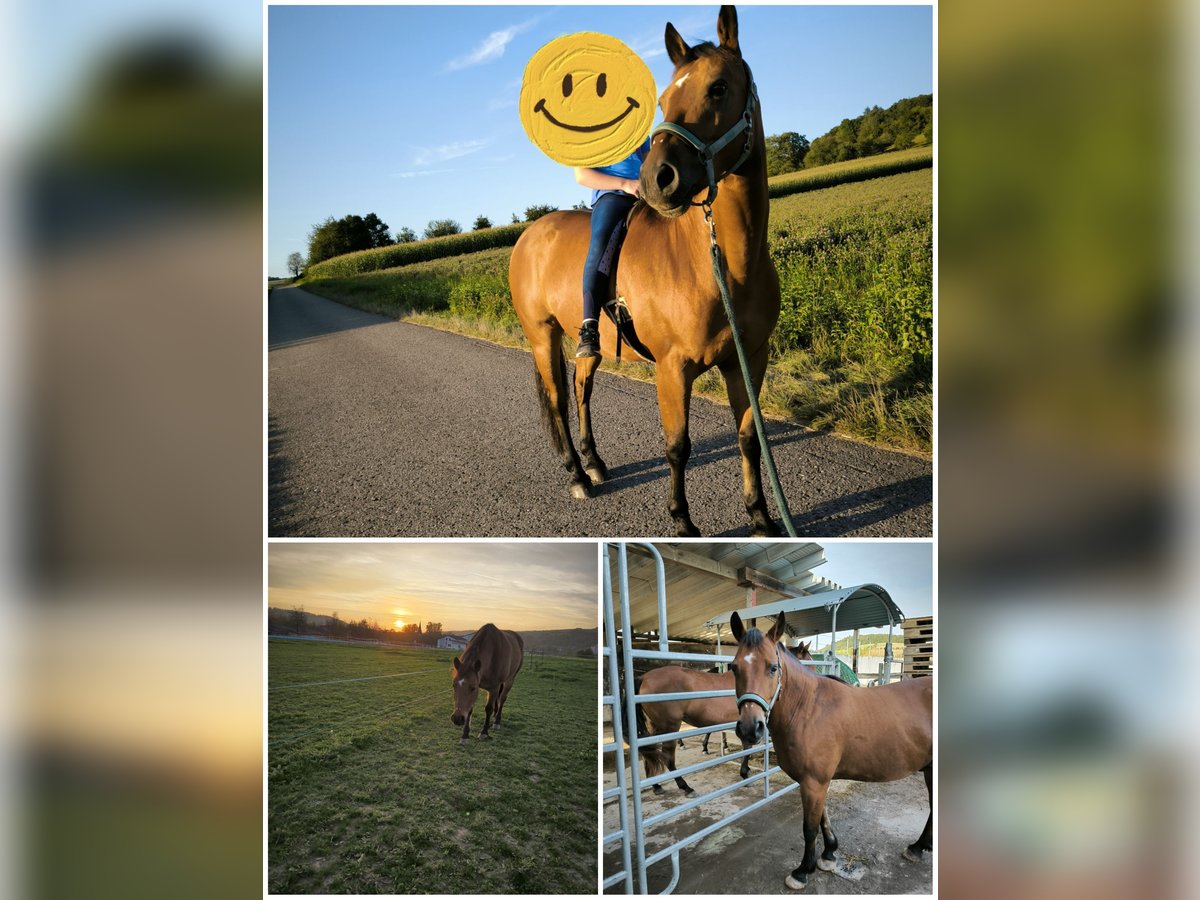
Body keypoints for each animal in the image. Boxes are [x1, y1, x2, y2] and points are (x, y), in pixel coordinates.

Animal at [508, 7, 782, 540]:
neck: (720, 267)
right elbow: (678, 446)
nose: (657, 179)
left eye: (718, 87)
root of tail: (529, 235)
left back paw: (594, 463)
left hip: (584, 343)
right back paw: (578, 475)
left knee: (582, 389)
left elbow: (748, 439)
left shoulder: (748, 359)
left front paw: (761, 516)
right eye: (664, 98)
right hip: (542, 337)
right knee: (558, 400)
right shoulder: (673, 369)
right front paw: (682, 521)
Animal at [633, 643, 811, 796]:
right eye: (808, 661)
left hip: (654, 726)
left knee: (650, 755)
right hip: (670, 727)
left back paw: (656, 785)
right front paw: (745, 775)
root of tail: (645, 677)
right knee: (668, 758)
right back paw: (686, 787)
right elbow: (747, 749)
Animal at [724, 609, 931, 892]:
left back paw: (918, 847)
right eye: (734, 668)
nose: (749, 728)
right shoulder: (815, 780)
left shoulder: (814, 781)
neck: (809, 708)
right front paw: (829, 853)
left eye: (773, 667)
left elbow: (809, 828)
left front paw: (803, 870)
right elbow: (823, 818)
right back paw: (920, 847)